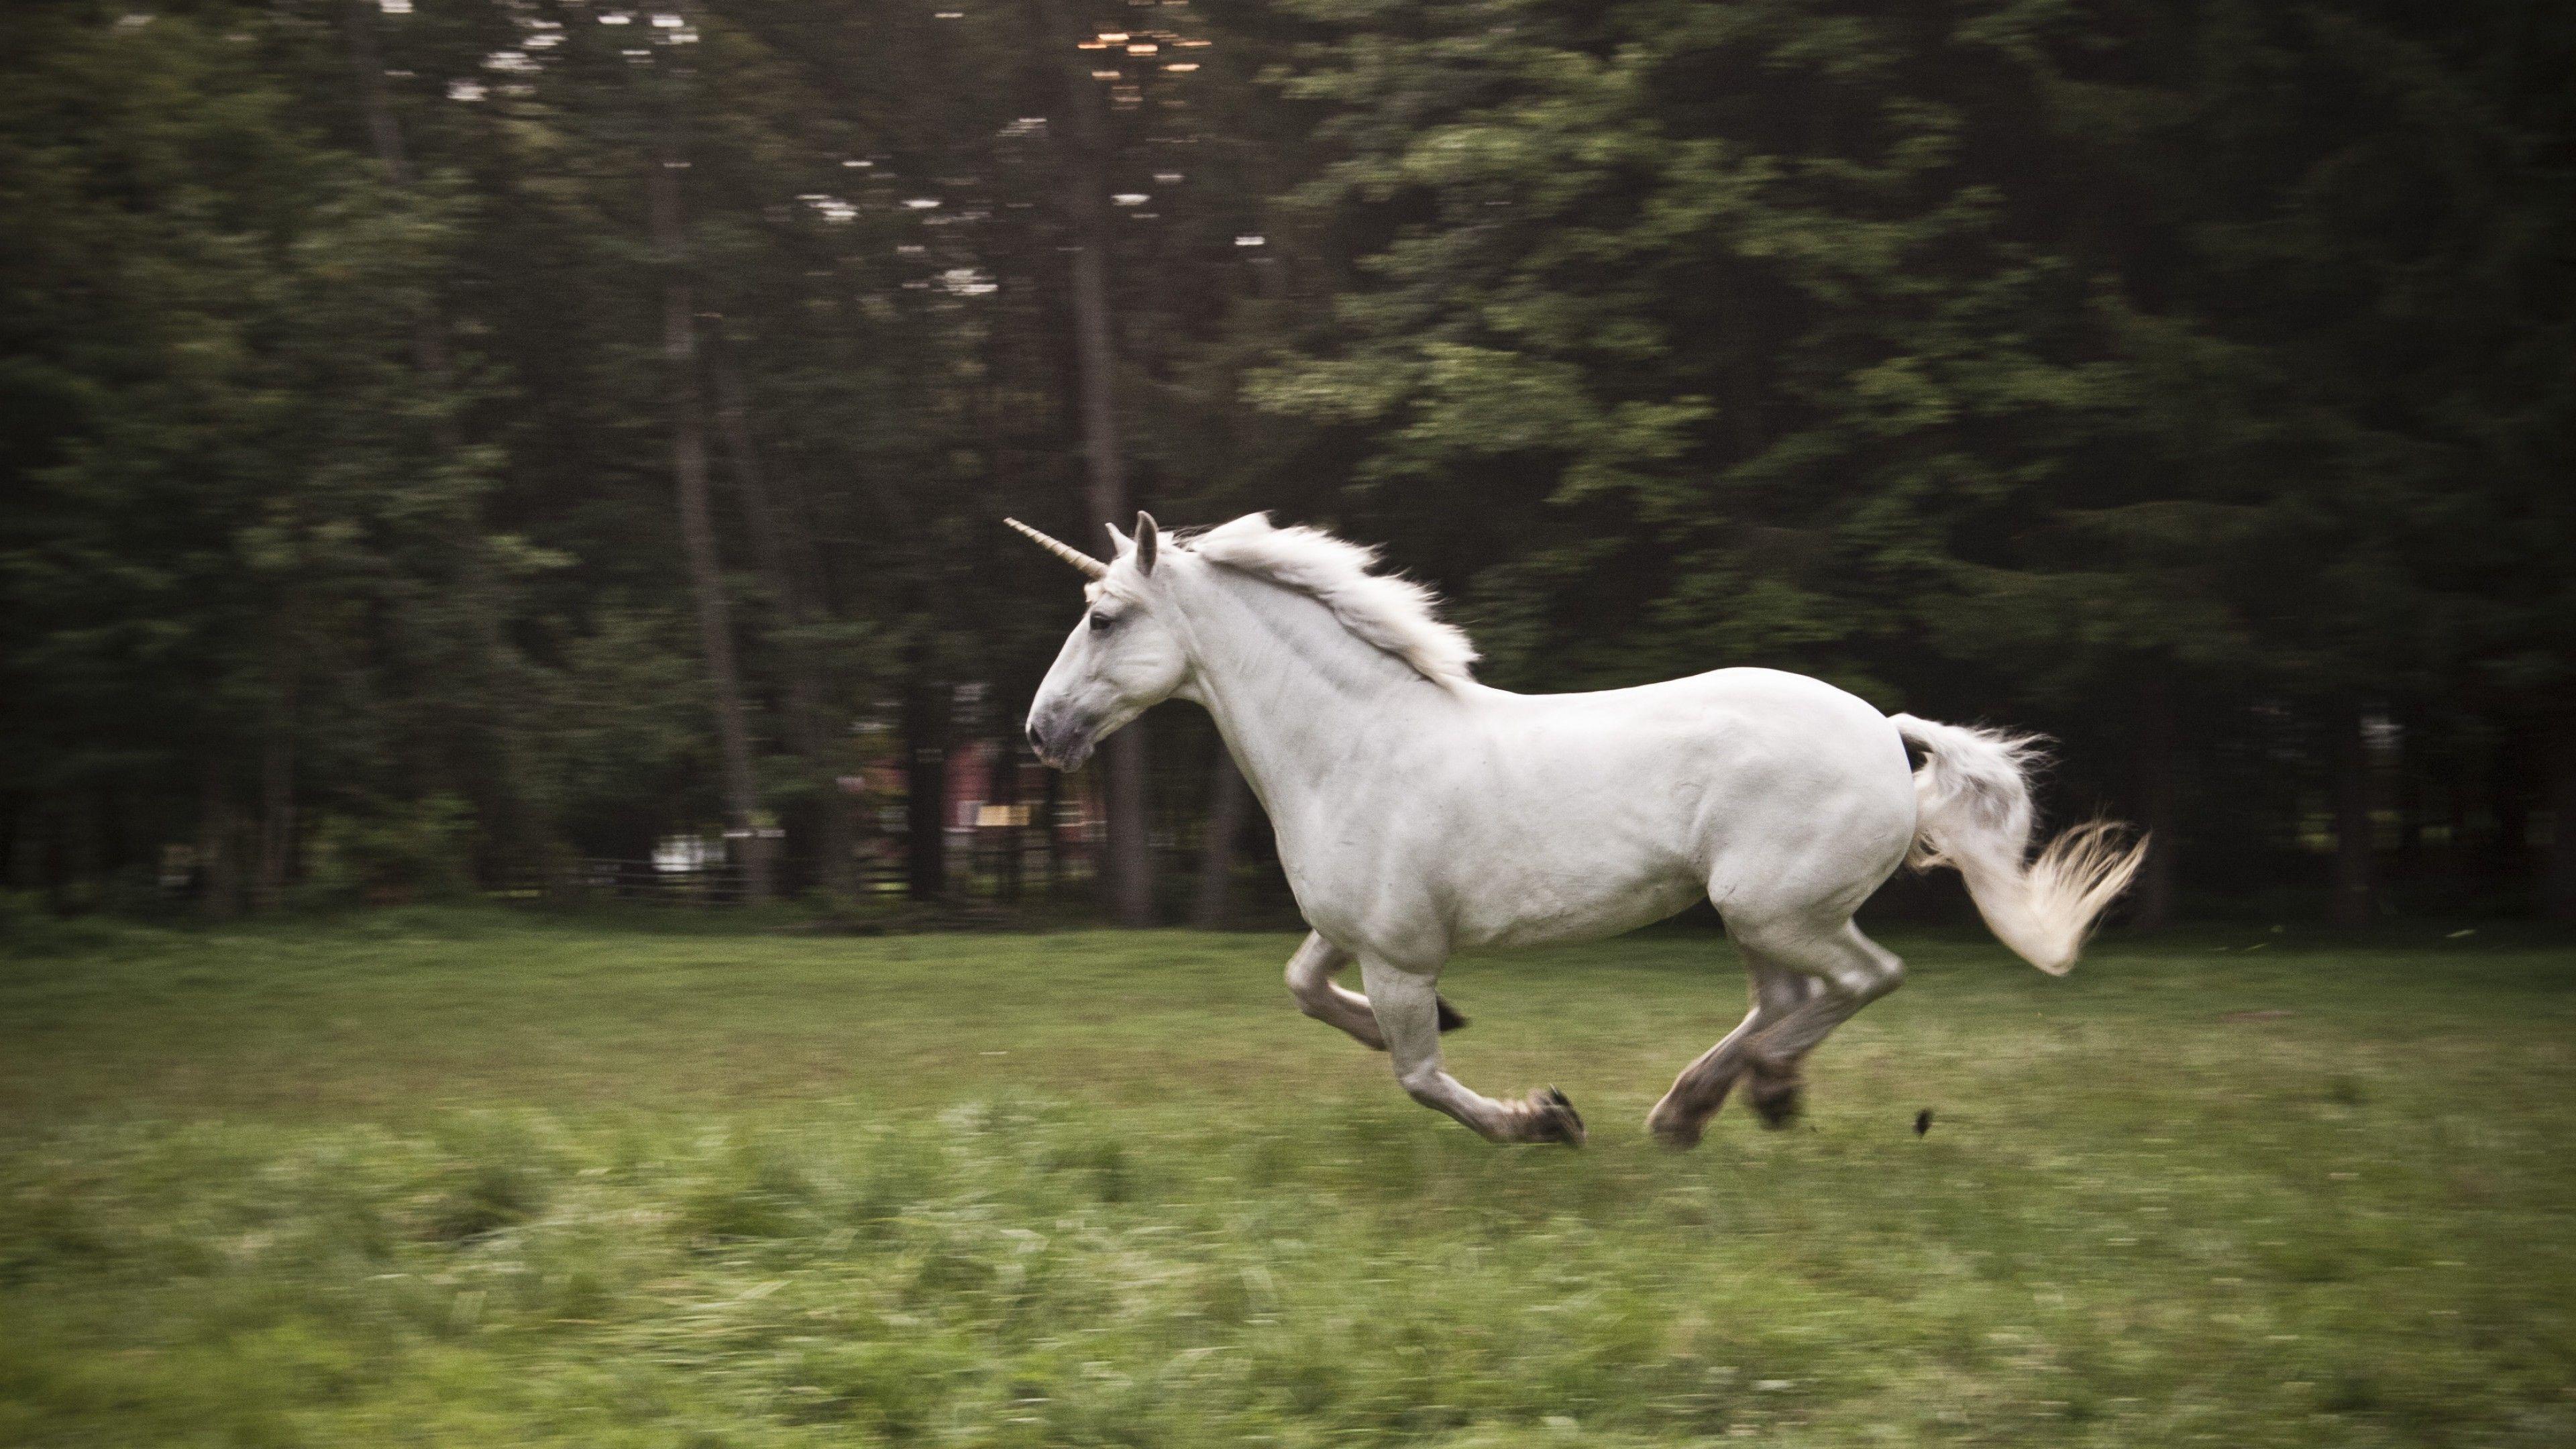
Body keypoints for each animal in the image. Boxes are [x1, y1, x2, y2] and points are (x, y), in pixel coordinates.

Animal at [1009, 511, 2145, 1148]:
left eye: (1103, 618)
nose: (1041, 731)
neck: (1355, 745)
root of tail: (1886, 729)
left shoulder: (1398, 952)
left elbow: (1418, 1076)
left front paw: (1542, 1120)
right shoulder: (1352, 933)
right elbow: (1305, 991)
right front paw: (1454, 1036)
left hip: (1779, 910)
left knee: (1862, 982)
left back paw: (1757, 1093)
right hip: (1758, 917)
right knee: (1788, 1000)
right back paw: (1696, 1109)